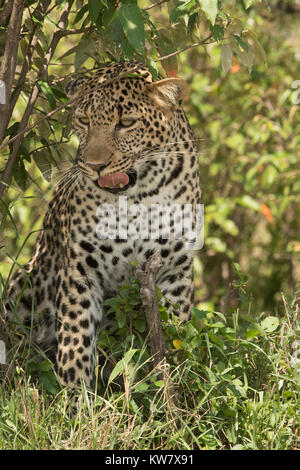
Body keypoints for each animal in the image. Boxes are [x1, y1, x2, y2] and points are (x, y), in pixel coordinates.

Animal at [2, 60, 202, 388]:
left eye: (127, 123)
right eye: (84, 120)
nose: (95, 165)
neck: (136, 199)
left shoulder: (175, 270)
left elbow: (176, 334)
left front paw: (177, 386)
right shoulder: (80, 273)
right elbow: (76, 342)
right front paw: (76, 397)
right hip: (24, 283)